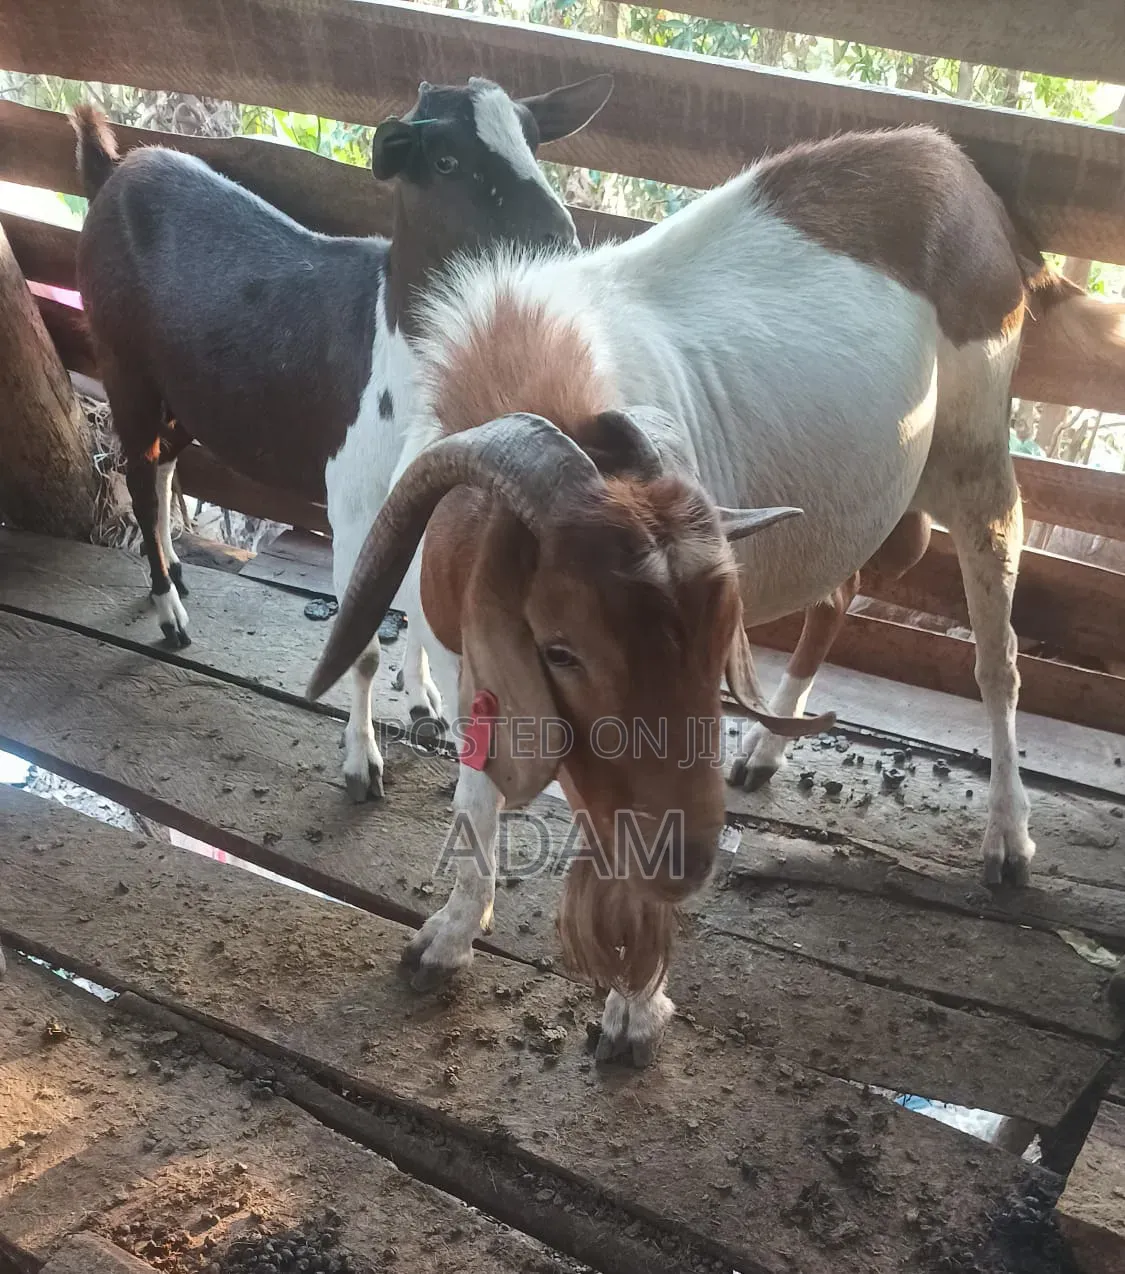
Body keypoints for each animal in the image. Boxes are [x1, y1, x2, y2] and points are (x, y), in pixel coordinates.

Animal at [71, 74, 613, 801]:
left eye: (532, 140)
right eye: (444, 161)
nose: (558, 238)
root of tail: (114, 168)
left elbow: (416, 607)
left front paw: (423, 704)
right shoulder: (354, 508)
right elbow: (361, 648)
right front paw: (361, 765)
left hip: (186, 389)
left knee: (161, 466)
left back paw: (178, 569)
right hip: (121, 358)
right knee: (135, 470)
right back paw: (168, 611)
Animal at [307, 124, 1083, 1065]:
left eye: (715, 645)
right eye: (560, 647)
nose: (690, 862)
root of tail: (947, 158)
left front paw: (634, 1011)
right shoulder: (476, 669)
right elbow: (478, 791)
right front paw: (448, 938)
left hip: (973, 451)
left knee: (996, 652)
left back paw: (1007, 838)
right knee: (840, 592)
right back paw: (763, 753)